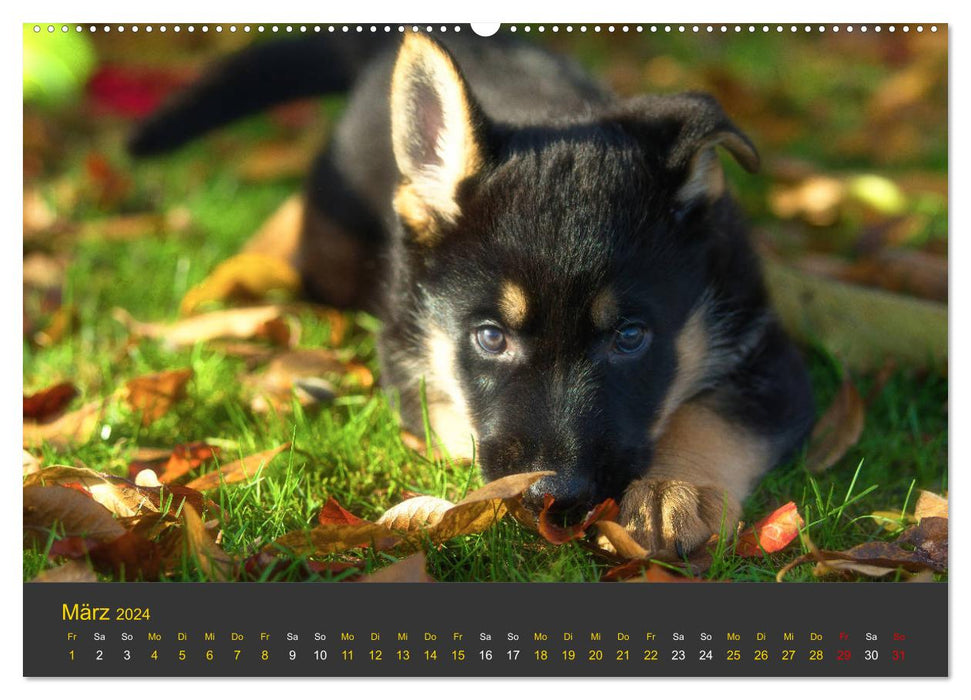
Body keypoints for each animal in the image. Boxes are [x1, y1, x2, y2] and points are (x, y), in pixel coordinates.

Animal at [129, 31, 812, 556]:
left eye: (630, 337)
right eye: (490, 338)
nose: (555, 496)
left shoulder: (769, 355)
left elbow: (711, 416)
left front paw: (675, 491)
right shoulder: (407, 345)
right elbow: (455, 422)